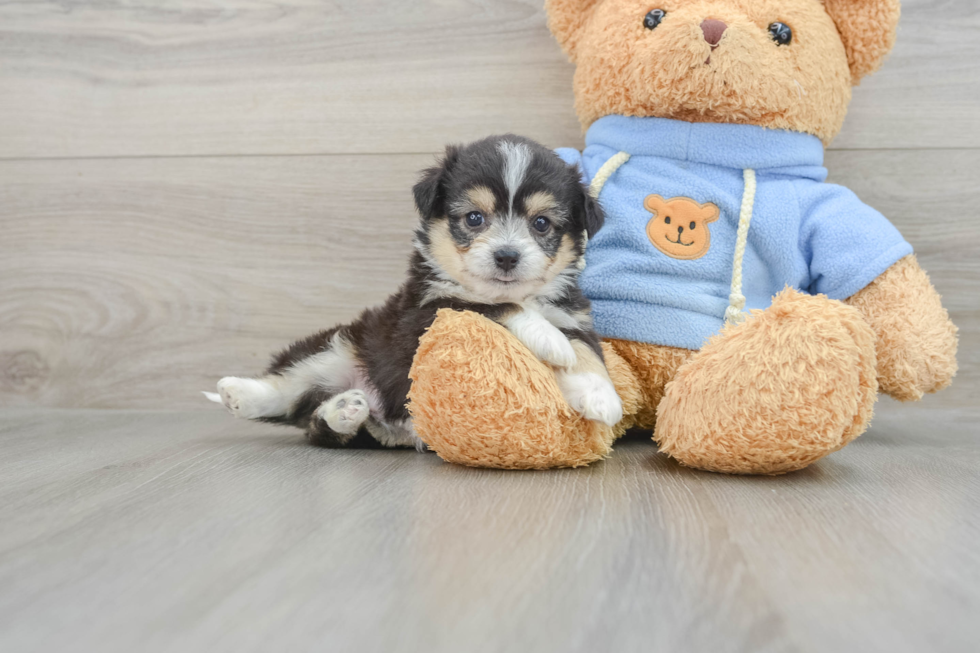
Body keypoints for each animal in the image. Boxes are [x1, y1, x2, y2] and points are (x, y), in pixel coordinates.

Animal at [205, 132, 620, 448]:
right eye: (474, 218)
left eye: (541, 223)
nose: (506, 256)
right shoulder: (426, 312)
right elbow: (496, 307)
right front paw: (550, 341)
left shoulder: (573, 316)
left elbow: (587, 354)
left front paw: (602, 397)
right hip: (340, 346)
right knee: (286, 389)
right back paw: (238, 393)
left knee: (322, 425)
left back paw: (344, 411)